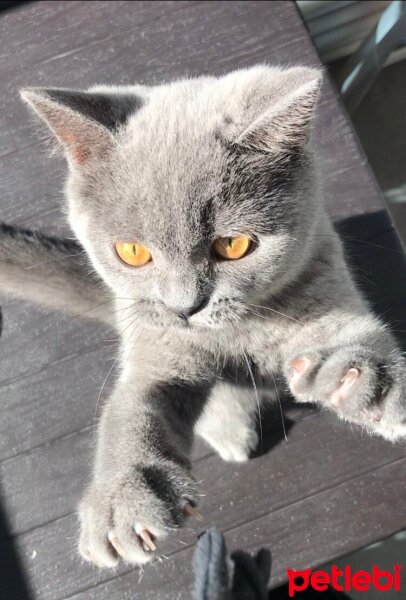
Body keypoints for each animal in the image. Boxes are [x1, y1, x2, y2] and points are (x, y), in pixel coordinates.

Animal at [0, 65, 404, 568]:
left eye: (233, 245)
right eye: (132, 252)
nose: (185, 306)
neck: (236, 333)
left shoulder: (323, 278)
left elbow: (352, 335)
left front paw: (364, 383)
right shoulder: (157, 349)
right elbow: (132, 406)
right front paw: (123, 502)